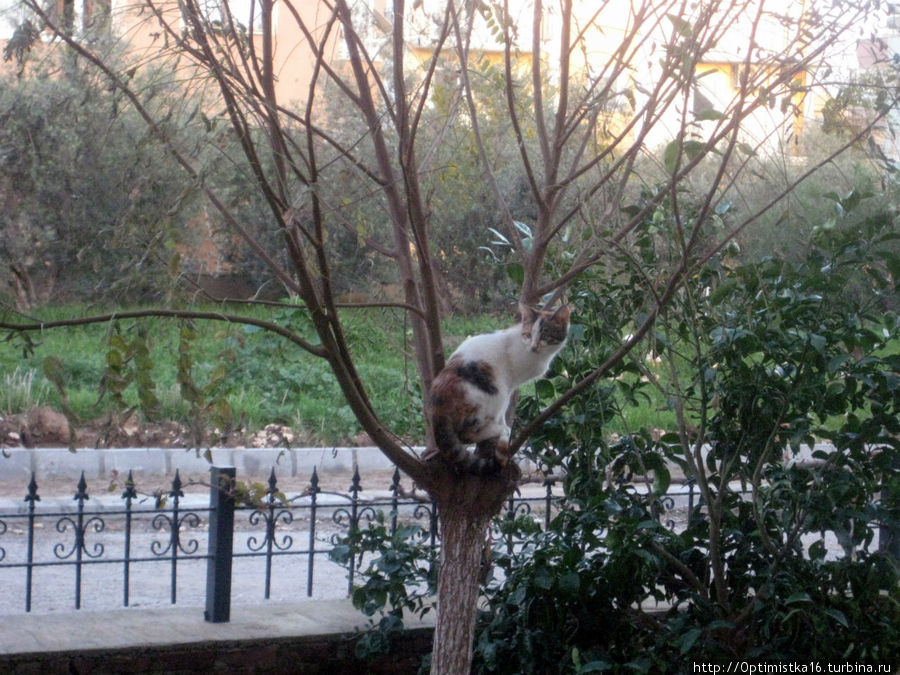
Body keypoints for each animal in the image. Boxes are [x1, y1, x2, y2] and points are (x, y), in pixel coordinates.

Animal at [428, 306, 568, 476]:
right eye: (528, 335)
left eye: (545, 335)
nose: (534, 346)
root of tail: (437, 401)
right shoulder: (509, 384)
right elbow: (503, 409)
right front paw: (504, 425)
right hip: (494, 392)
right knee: (465, 435)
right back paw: (499, 429)